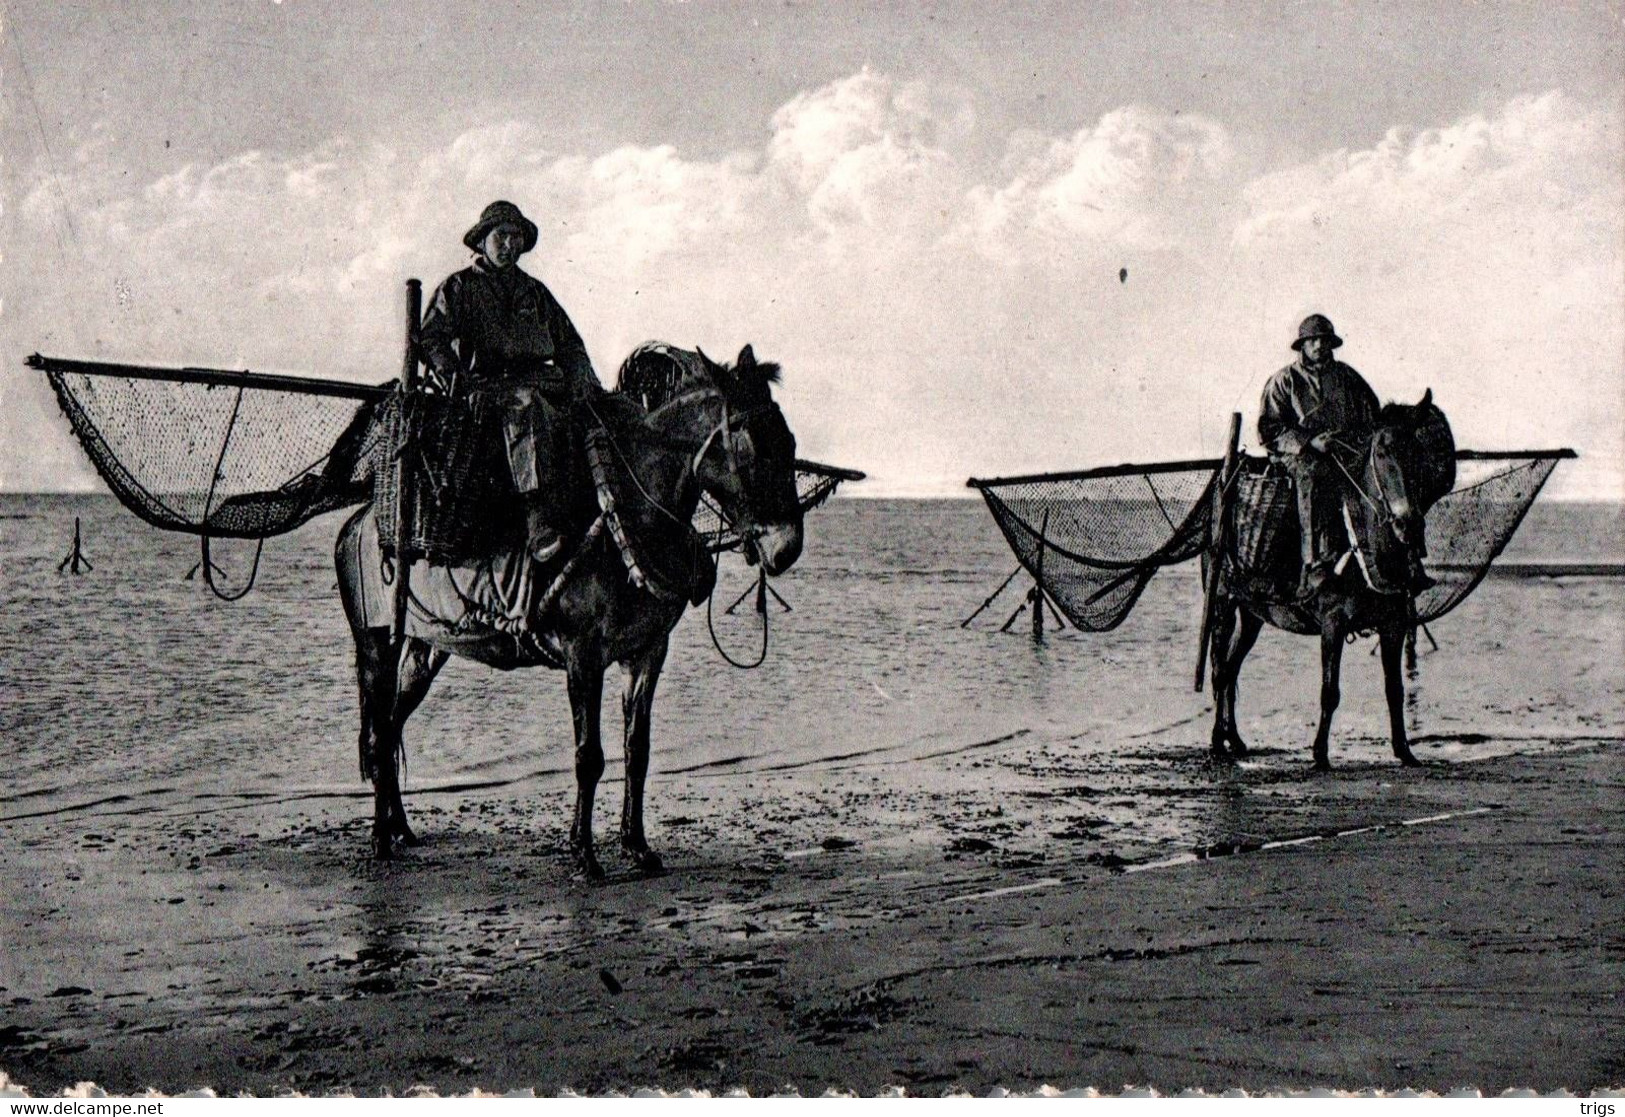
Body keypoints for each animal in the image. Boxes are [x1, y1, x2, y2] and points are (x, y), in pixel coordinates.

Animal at [331, 347, 806, 871]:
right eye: (752, 443)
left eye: (789, 440)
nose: (786, 548)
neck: (627, 520)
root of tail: (361, 520)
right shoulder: (583, 655)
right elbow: (589, 756)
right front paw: (584, 853)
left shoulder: (647, 653)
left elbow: (636, 751)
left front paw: (637, 845)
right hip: (375, 643)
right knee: (378, 736)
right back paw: (379, 840)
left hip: (425, 648)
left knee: (392, 723)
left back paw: (401, 829)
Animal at [1209, 391, 1462, 767]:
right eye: (1381, 452)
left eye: (1418, 453)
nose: (1408, 524)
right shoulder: (1333, 621)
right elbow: (1330, 691)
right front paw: (1320, 754)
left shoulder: (1394, 623)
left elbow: (1395, 689)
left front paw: (1404, 751)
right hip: (1224, 603)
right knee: (1220, 669)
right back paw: (1216, 741)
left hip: (1254, 613)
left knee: (1232, 668)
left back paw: (1236, 740)